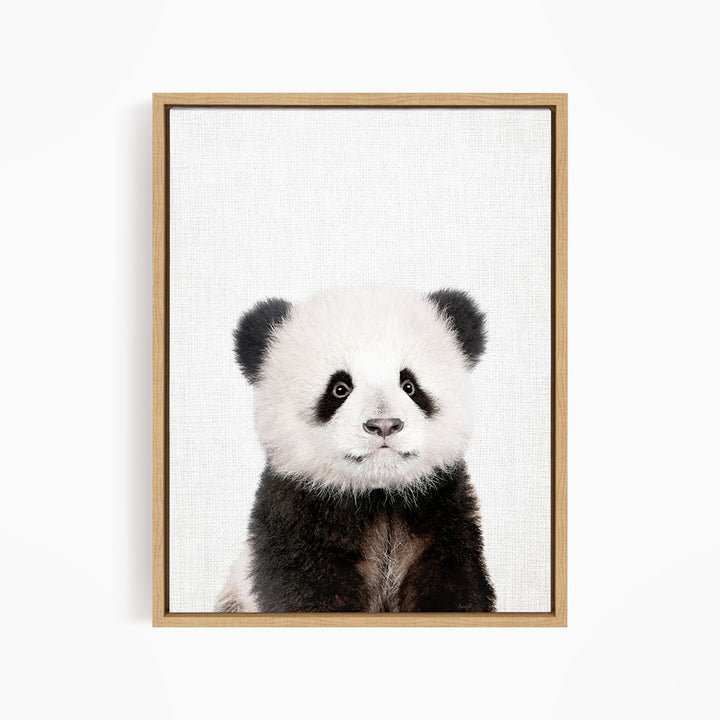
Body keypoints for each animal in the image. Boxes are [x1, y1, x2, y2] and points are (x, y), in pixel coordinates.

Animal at [216, 287, 495, 613]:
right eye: (340, 388)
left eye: (409, 385)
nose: (384, 425)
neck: (379, 495)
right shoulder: (296, 512)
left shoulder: (441, 508)